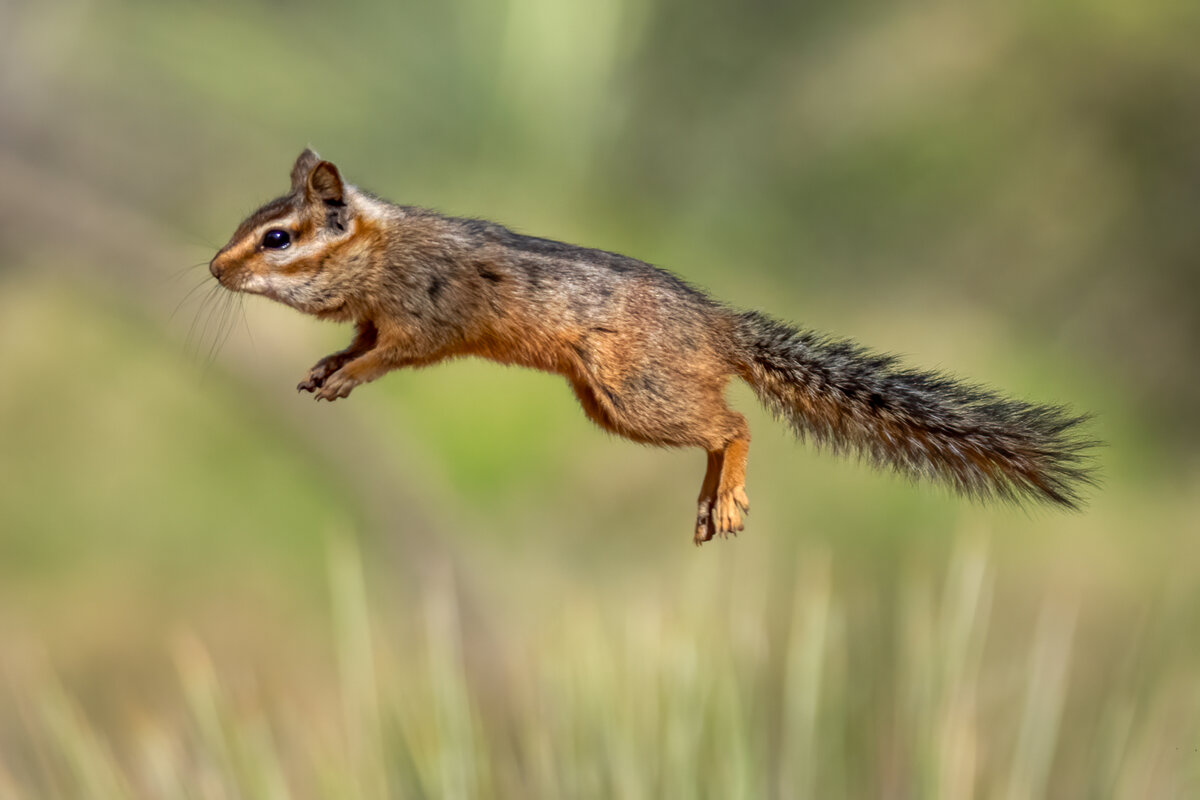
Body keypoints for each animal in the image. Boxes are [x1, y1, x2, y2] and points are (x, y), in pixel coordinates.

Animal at [210, 149, 1096, 544]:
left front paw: (345, 374)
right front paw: (327, 367)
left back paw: (726, 497)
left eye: (279, 238)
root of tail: (720, 326)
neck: (380, 251)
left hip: (634, 392)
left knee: (734, 425)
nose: (216, 268)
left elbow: (391, 354)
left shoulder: (422, 317)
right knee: (718, 426)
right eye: (251, 224)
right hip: (615, 402)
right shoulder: (375, 316)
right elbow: (358, 345)